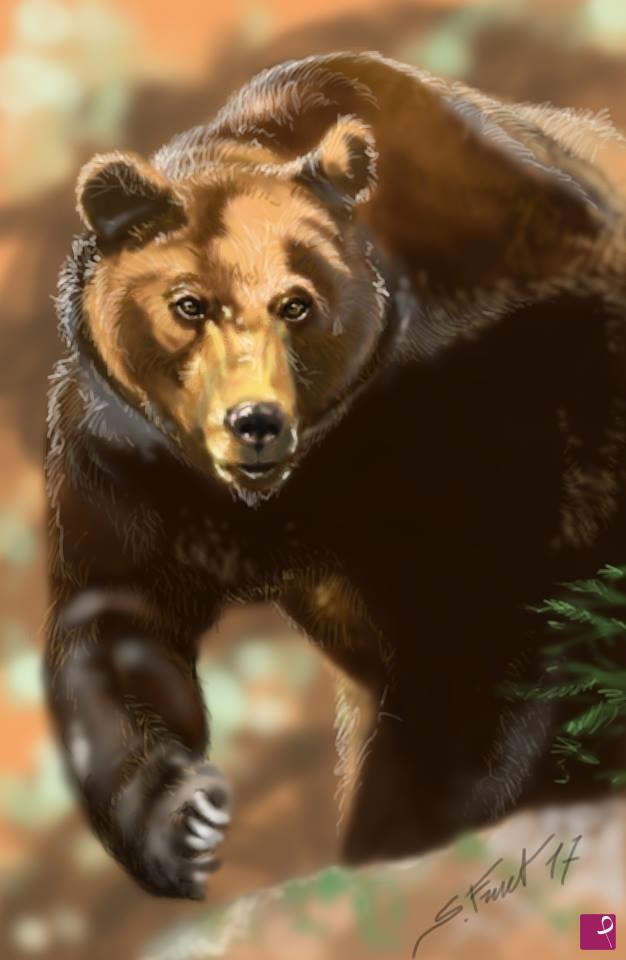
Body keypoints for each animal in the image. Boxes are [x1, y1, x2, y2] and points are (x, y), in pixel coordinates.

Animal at [44, 50, 626, 900]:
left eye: (297, 303)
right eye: (189, 304)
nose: (254, 422)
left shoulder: (491, 410)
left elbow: (490, 640)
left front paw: (408, 821)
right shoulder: (128, 463)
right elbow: (115, 623)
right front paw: (183, 822)